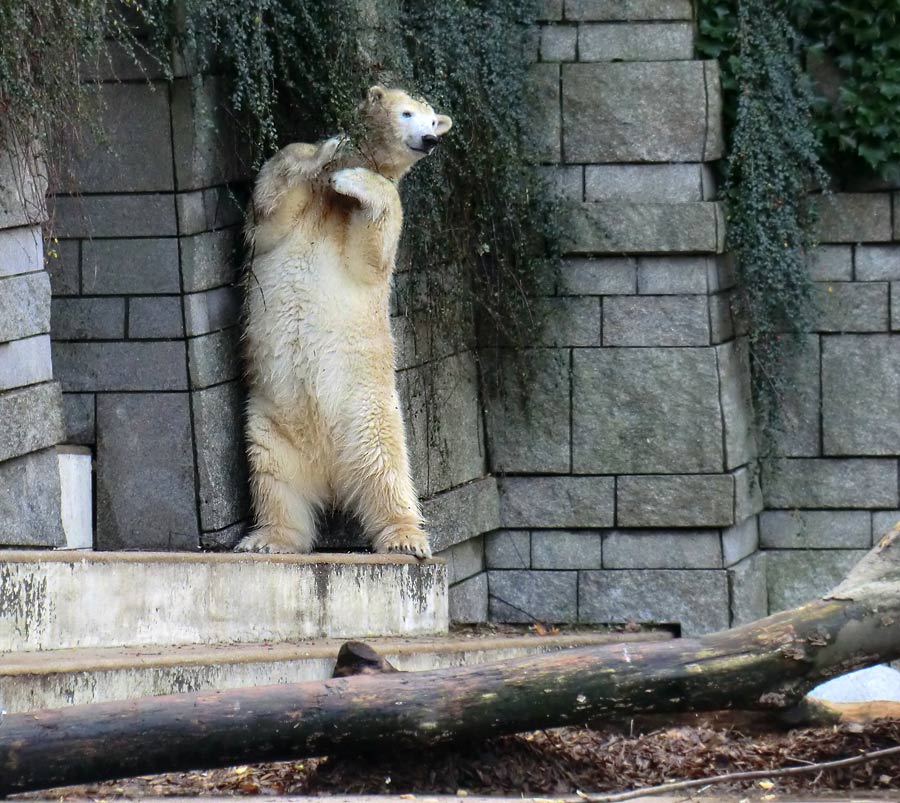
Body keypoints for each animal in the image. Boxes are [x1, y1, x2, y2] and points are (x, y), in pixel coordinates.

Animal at [236, 85, 454, 556]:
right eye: (407, 113)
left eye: (433, 121)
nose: (431, 140)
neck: (331, 205)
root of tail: (329, 472)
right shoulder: (296, 212)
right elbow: (270, 212)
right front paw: (325, 148)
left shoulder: (362, 232)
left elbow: (371, 249)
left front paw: (351, 177)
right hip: (268, 425)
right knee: (274, 480)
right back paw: (267, 538)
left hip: (369, 413)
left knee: (387, 470)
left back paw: (405, 537)